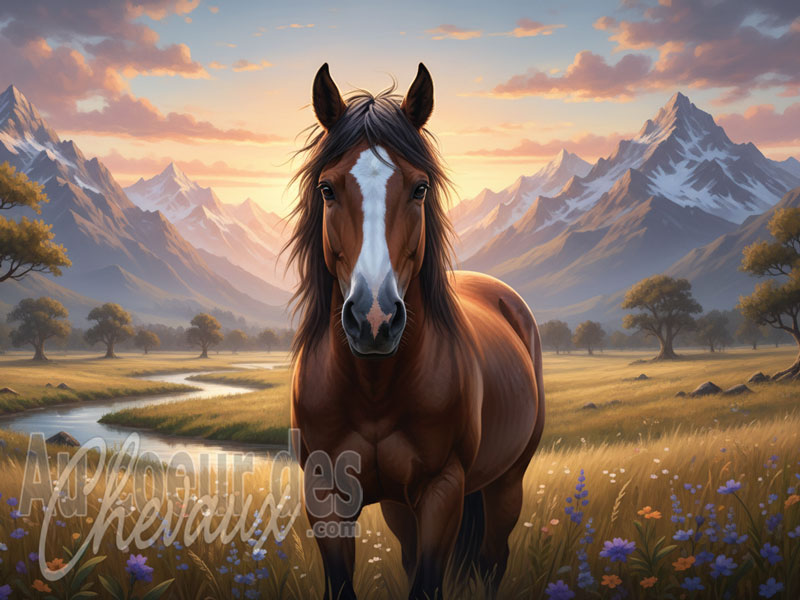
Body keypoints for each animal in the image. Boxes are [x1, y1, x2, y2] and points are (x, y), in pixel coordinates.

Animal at [288, 63, 545, 600]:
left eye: (419, 188)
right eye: (327, 189)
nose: (374, 320)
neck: (374, 387)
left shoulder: (441, 491)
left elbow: (428, 582)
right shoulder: (325, 493)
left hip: (506, 483)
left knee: (492, 559)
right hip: (397, 504)